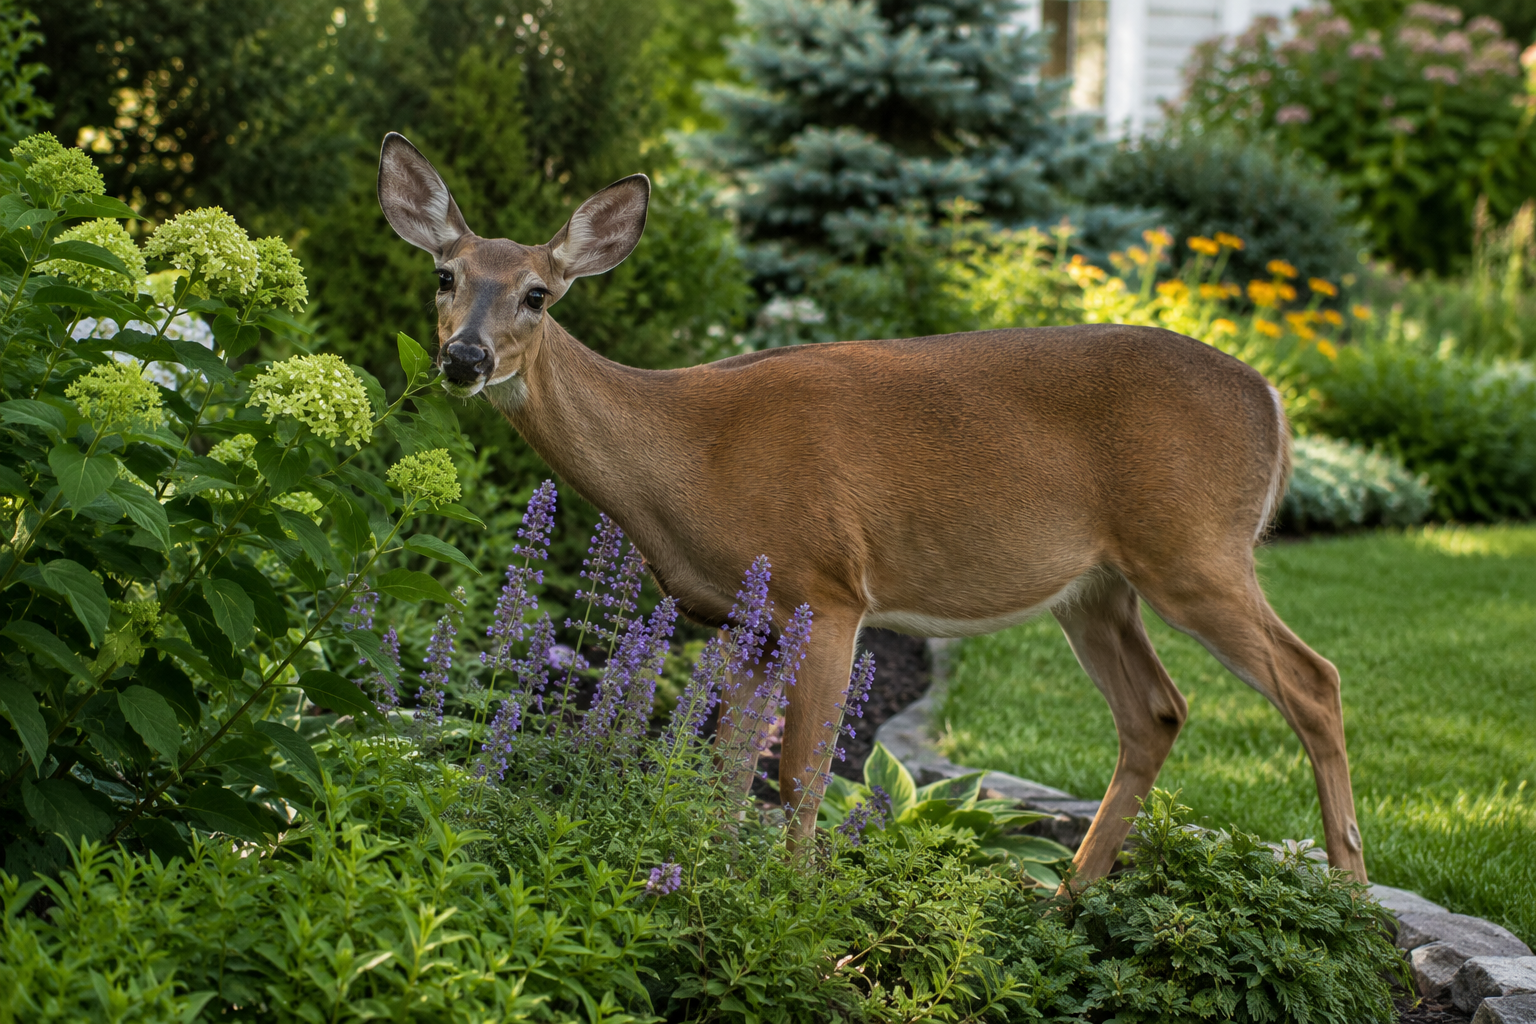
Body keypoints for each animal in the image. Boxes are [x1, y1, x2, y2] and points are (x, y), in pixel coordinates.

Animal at [375, 131, 1368, 885]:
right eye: (444, 277)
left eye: (538, 294)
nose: (464, 359)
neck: (688, 457)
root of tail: (1275, 401)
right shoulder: (743, 618)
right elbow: (729, 771)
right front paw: (704, 879)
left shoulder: (827, 584)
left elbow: (801, 777)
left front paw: (792, 903)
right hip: (1098, 588)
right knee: (1156, 712)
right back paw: (1067, 900)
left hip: (1193, 546)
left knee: (1314, 681)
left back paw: (1348, 897)